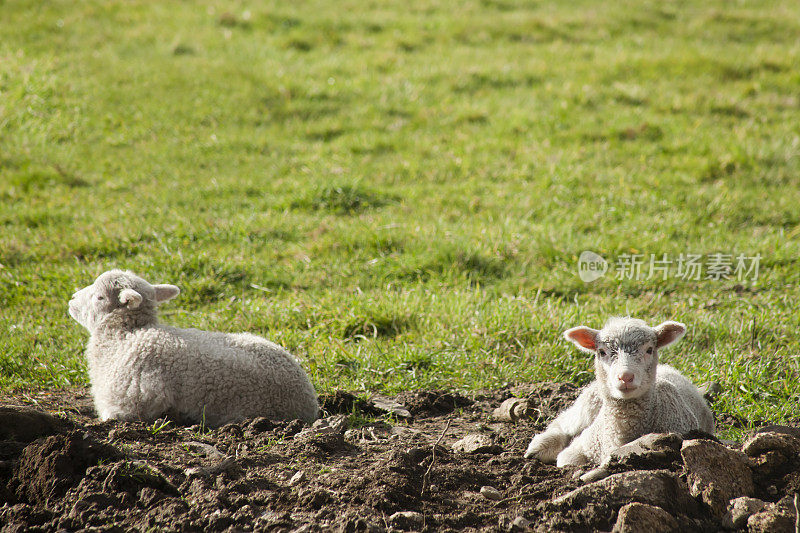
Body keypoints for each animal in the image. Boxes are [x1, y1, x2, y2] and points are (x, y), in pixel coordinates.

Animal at [524, 316, 712, 466]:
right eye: (602, 352)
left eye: (649, 350)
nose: (625, 377)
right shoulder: (582, 445)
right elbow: (567, 460)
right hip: (588, 404)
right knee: (563, 423)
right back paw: (540, 446)